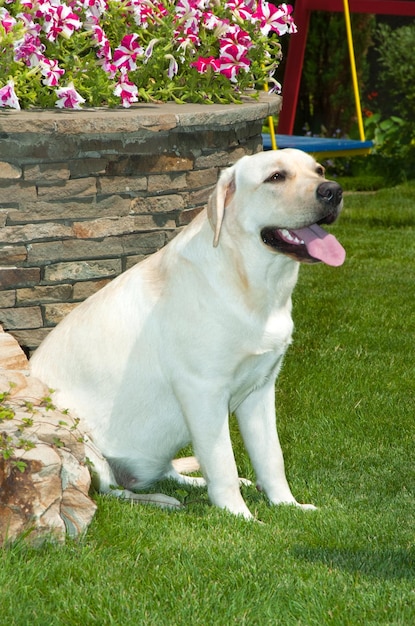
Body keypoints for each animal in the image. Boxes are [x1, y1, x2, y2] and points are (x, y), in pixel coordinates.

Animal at [30, 147, 346, 516]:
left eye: (319, 170)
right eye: (276, 177)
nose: (333, 191)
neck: (251, 282)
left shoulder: (260, 390)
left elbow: (271, 458)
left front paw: (286, 504)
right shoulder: (203, 392)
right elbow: (223, 463)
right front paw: (240, 516)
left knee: (165, 473)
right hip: (80, 439)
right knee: (112, 491)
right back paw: (165, 501)